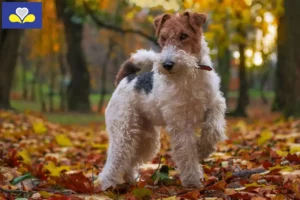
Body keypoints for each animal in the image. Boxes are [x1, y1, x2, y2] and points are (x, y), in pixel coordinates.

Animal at [99, 11, 226, 191]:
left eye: (183, 35)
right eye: (163, 37)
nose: (167, 64)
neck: (191, 74)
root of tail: (126, 79)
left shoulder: (215, 103)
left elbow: (214, 129)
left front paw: (202, 149)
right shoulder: (181, 123)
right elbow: (187, 153)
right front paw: (192, 181)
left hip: (146, 138)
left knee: (129, 161)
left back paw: (132, 180)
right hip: (123, 131)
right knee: (114, 161)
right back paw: (108, 186)